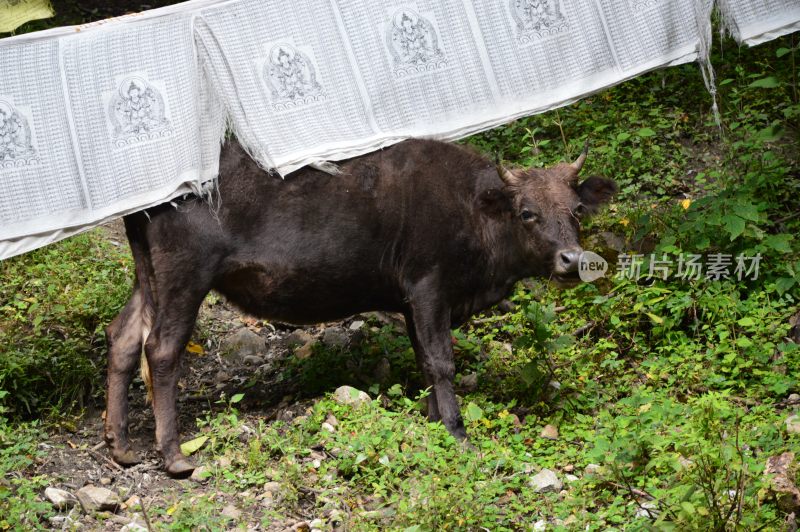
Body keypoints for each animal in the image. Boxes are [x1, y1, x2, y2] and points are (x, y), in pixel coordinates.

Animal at [103, 139, 616, 476]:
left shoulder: (412, 303)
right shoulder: (429, 289)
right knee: (161, 349)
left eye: (575, 210)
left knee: (123, 336)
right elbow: (441, 361)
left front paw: (434, 420)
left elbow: (424, 362)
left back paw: (121, 445)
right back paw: (174, 456)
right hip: (185, 280)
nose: (573, 261)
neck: (475, 209)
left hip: (147, 280)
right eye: (527, 212)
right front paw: (457, 433)